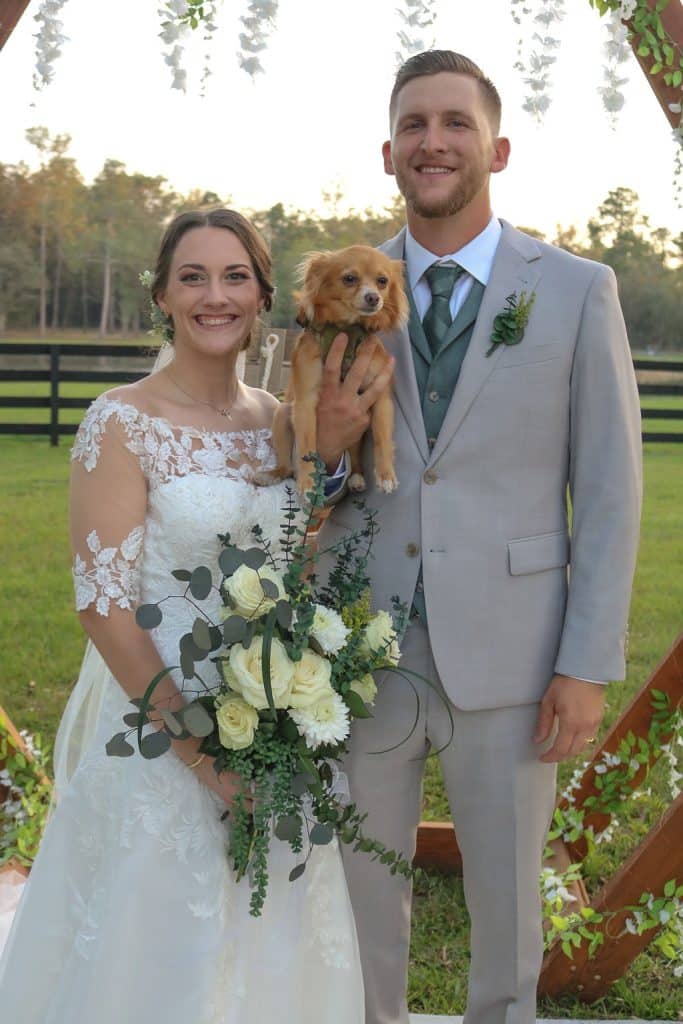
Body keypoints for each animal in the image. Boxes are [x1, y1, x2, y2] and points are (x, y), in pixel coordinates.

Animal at [270, 240, 409, 495]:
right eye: (349, 278)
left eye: (382, 281)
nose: (373, 297)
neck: (347, 329)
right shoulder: (305, 402)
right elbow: (307, 443)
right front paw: (307, 482)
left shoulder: (382, 399)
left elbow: (383, 437)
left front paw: (386, 474)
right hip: (283, 413)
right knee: (286, 464)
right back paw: (271, 474)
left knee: (353, 452)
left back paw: (356, 476)